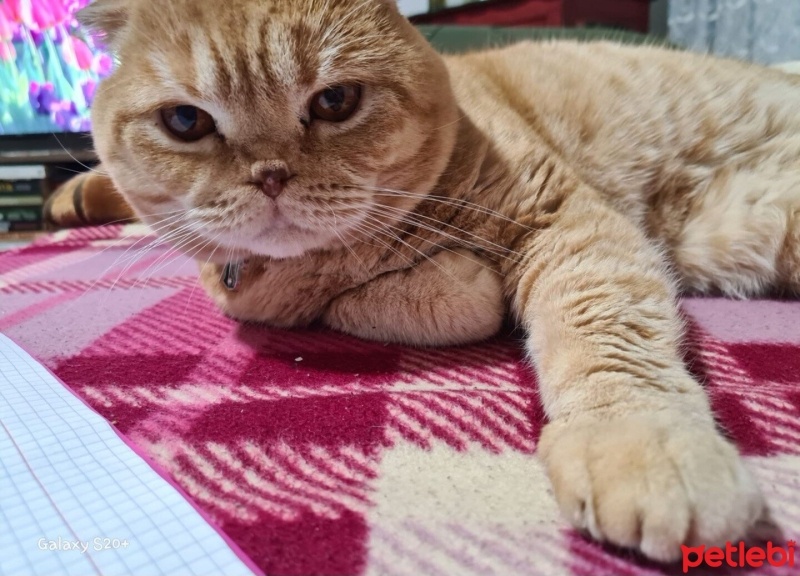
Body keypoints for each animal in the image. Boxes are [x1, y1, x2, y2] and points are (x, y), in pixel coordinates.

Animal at [76, 0, 800, 560]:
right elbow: (413, 300)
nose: (271, 175)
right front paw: (447, 279)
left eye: (335, 100)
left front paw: (641, 441)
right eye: (186, 121)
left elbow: (604, 325)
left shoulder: (565, 222)